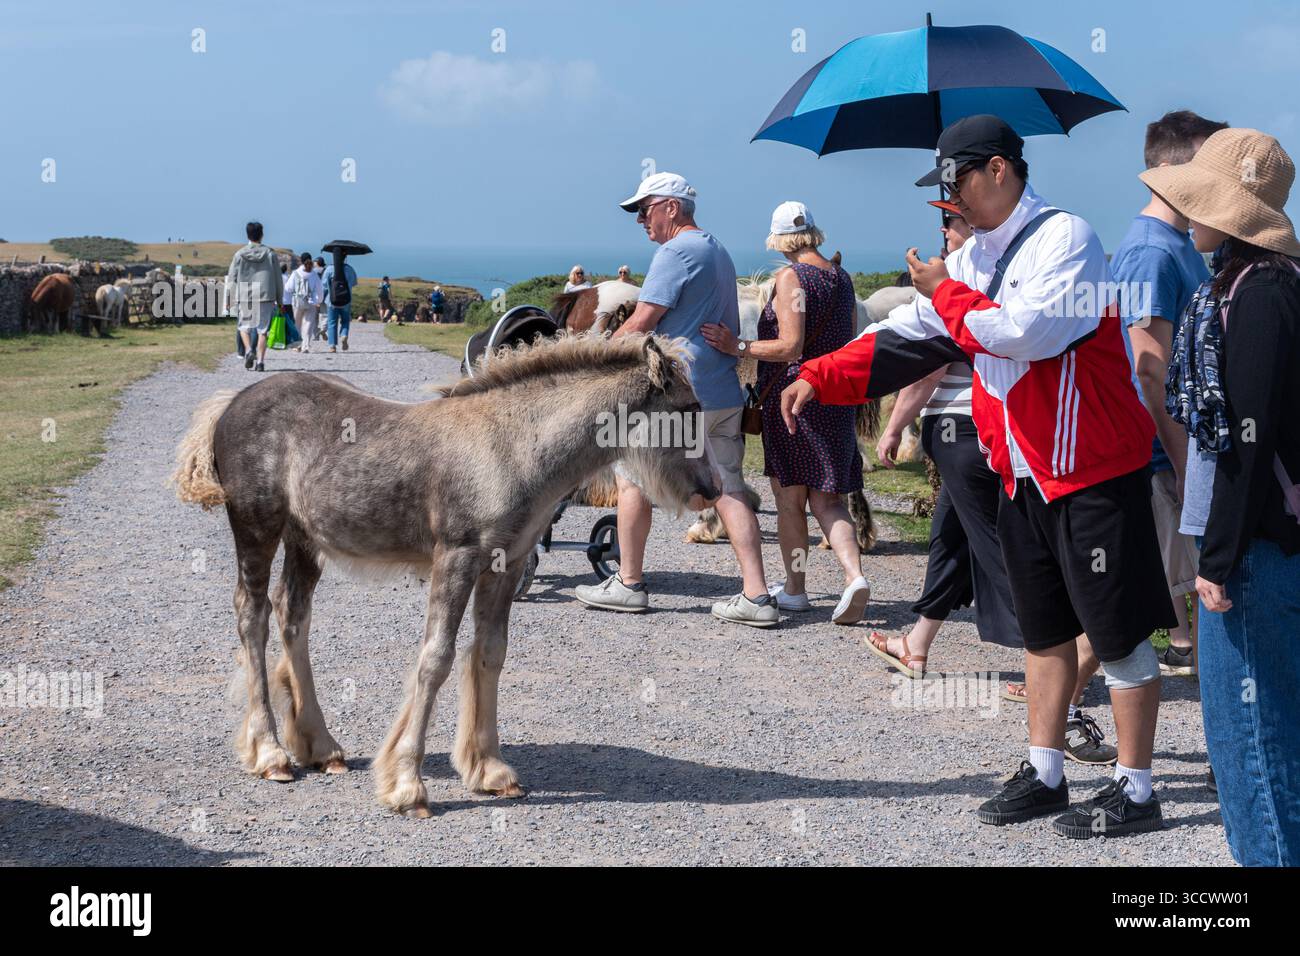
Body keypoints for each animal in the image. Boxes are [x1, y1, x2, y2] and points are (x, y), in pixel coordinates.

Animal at [173, 332, 716, 817]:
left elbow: (490, 655)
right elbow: (436, 658)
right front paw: (407, 784)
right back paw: (270, 753)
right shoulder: (455, 559)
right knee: (253, 617)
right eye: (689, 408)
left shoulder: (506, 564)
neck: (511, 447)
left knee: (292, 617)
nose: (709, 489)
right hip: (257, 528)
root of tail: (232, 402)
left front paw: (489, 769)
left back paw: (321, 746)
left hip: (304, 539)